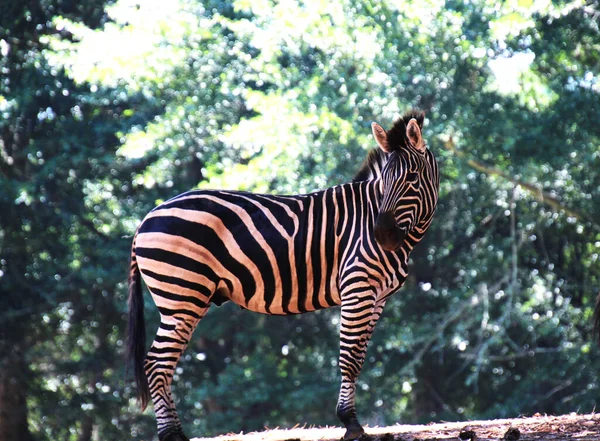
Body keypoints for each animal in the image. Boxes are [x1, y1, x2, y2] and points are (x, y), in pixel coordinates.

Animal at [129, 110, 438, 440]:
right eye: (385, 182)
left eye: (412, 178)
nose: (382, 236)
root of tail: (146, 218)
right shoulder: (357, 285)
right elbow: (350, 357)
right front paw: (350, 423)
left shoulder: (377, 296)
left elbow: (360, 355)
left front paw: (352, 420)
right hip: (181, 296)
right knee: (157, 363)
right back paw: (170, 433)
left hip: (185, 299)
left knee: (162, 363)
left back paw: (174, 431)